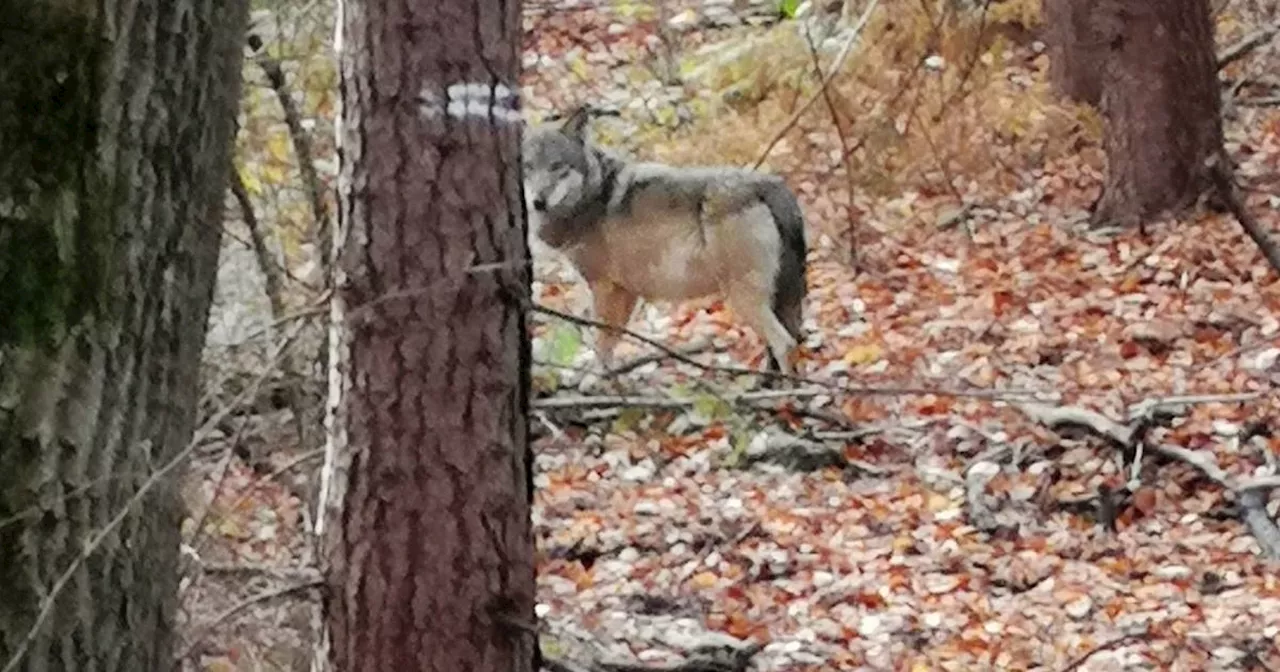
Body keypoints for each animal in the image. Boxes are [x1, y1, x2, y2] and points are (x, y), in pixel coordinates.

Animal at [522, 106, 803, 373]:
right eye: (528, 167)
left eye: (557, 166)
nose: (538, 202)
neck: (592, 195)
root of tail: (774, 185)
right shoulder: (626, 292)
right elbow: (613, 339)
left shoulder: (605, 288)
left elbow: (602, 342)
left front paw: (596, 380)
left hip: (742, 298)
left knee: (785, 343)